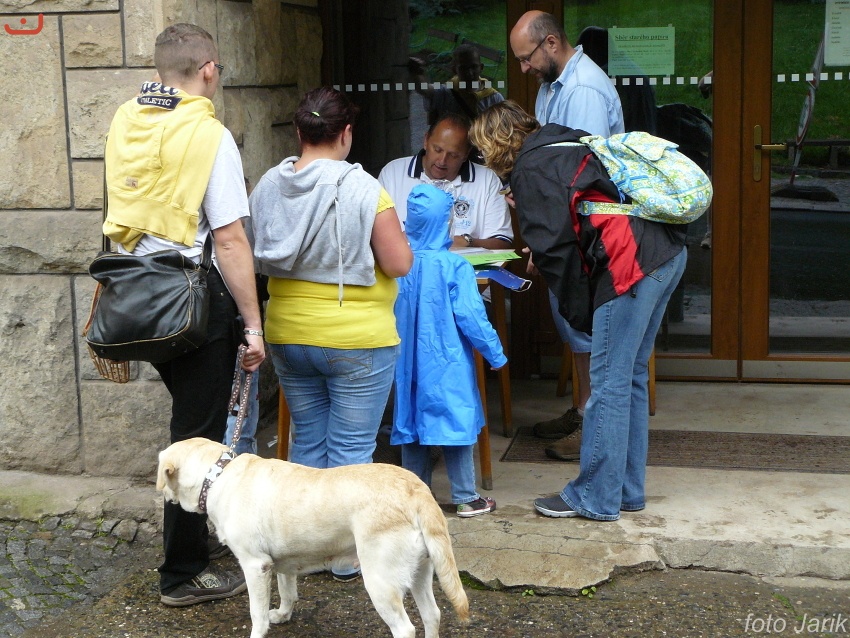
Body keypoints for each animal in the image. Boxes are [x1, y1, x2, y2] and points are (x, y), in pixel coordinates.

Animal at [156, 438, 470, 638]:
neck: (217, 475)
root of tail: (417, 490)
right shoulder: (281, 563)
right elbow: (287, 592)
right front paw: (282, 615)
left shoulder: (255, 566)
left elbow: (256, 613)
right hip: (421, 571)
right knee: (432, 615)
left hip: (380, 581)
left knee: (405, 628)